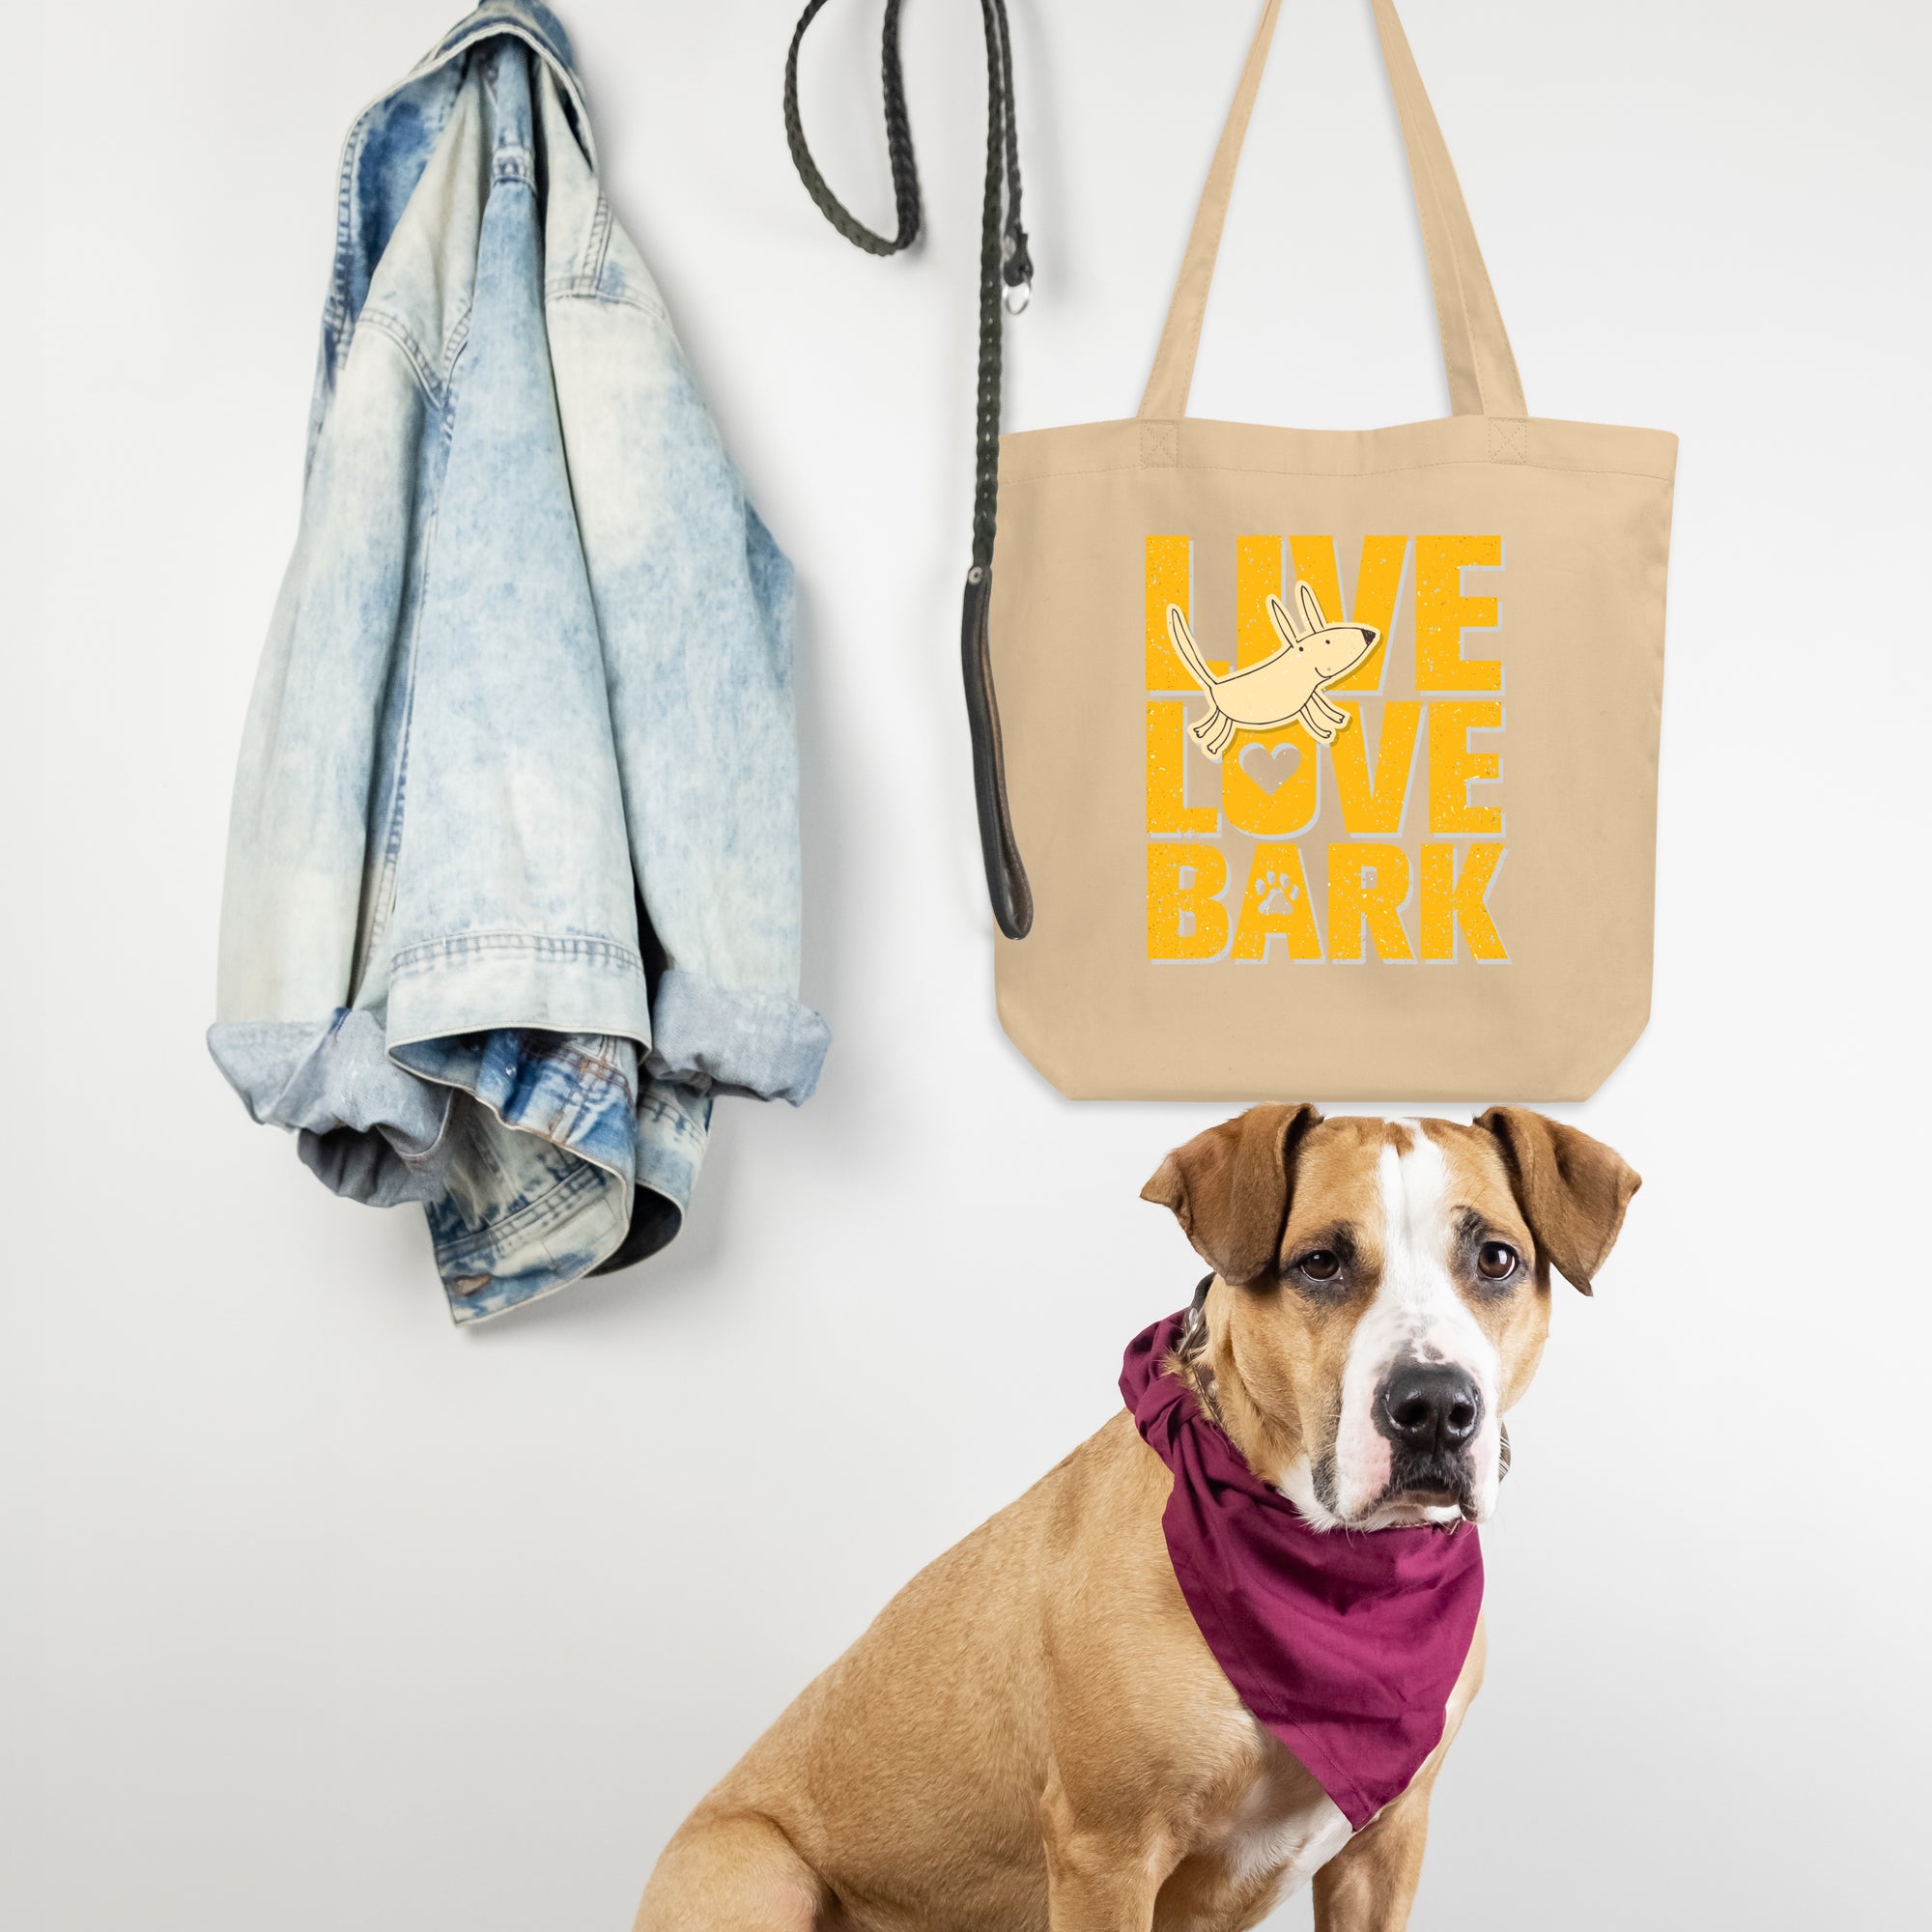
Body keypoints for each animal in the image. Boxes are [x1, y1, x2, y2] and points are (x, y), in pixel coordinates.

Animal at [641, 1105, 1638, 1932]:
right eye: (1320, 1263)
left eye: (1496, 1258)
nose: (1433, 1407)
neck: (1337, 1578)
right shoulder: (1106, 1852)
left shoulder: (1385, 1847)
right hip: (755, 1870)